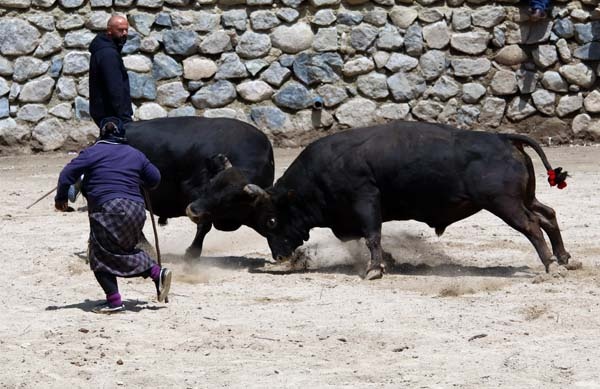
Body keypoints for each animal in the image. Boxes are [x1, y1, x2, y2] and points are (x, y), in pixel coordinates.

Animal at [129, 116, 276, 256]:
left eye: (229, 200)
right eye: (211, 184)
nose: (192, 210)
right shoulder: (193, 191)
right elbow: (205, 224)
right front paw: (193, 253)